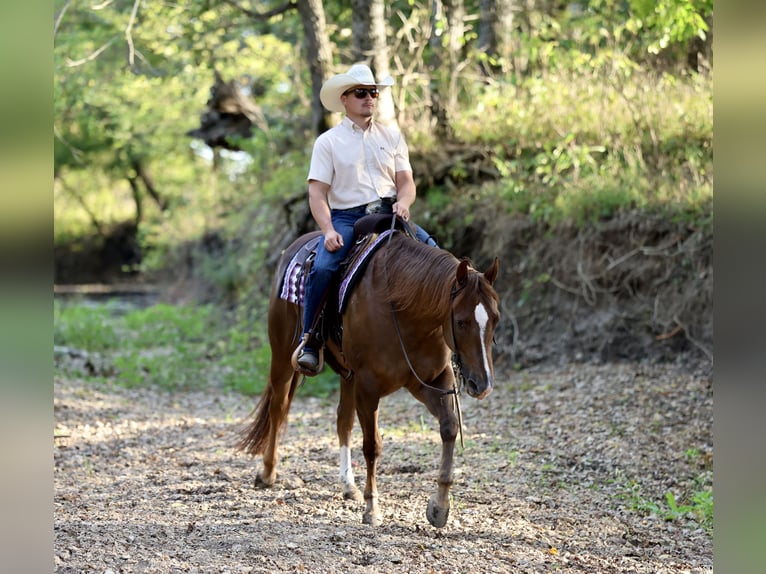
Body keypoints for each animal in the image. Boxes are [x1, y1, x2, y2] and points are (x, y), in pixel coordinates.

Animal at [237, 221, 500, 528]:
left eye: (495, 319)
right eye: (460, 321)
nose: (482, 384)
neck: (403, 308)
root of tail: (294, 246)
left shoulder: (431, 381)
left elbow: (449, 429)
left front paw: (439, 506)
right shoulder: (368, 387)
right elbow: (373, 445)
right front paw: (372, 508)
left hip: (347, 375)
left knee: (343, 421)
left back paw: (348, 485)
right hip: (282, 356)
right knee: (278, 410)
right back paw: (268, 473)